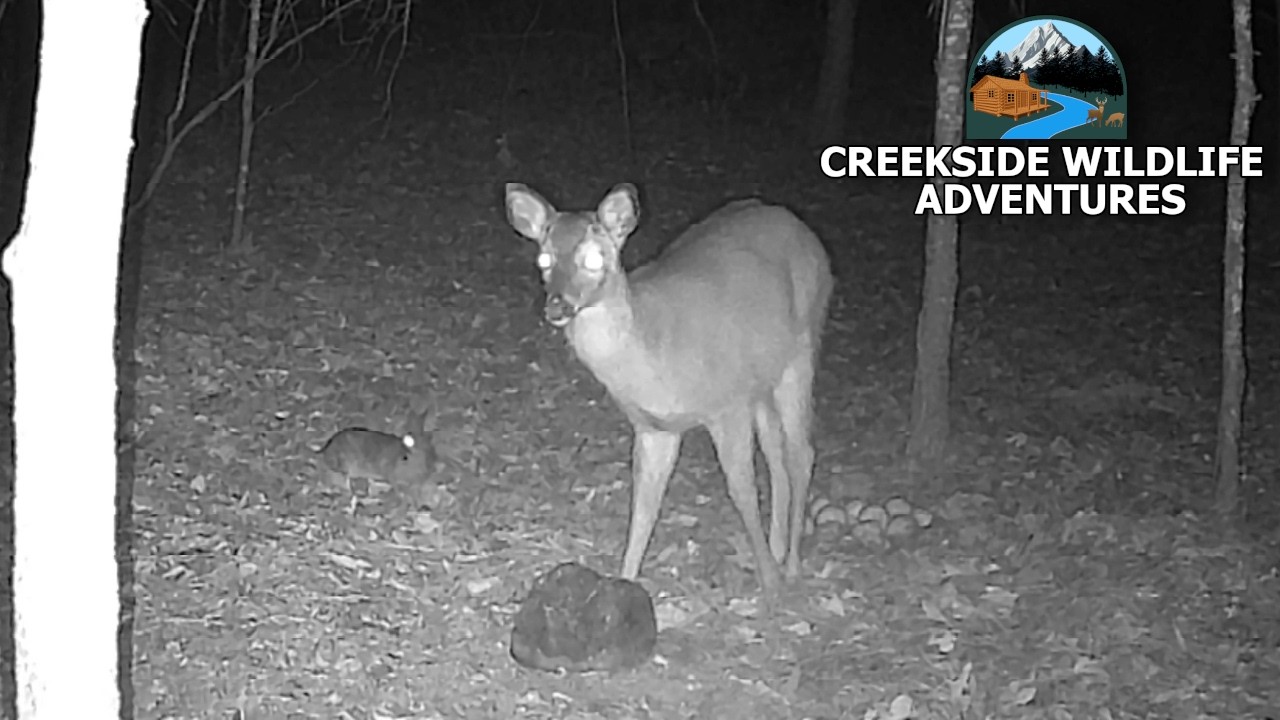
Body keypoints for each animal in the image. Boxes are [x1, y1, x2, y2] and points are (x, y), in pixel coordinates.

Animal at [505, 183, 833, 607]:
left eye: (595, 257)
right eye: (543, 258)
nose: (557, 306)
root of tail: (798, 224)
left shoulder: (727, 404)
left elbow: (741, 489)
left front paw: (771, 584)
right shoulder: (654, 427)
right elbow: (644, 504)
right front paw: (624, 583)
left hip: (802, 348)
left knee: (801, 453)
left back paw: (790, 565)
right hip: (762, 378)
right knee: (777, 455)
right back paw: (778, 550)